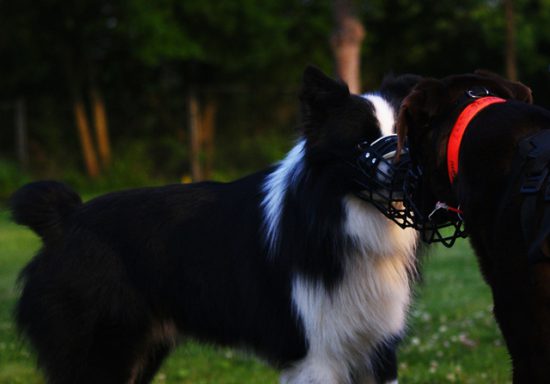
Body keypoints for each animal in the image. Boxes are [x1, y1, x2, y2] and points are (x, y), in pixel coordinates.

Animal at [11, 67, 418, 384]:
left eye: (405, 135)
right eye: (362, 142)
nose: (405, 168)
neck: (337, 215)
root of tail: (64, 220)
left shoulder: (378, 348)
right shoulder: (314, 353)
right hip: (101, 353)